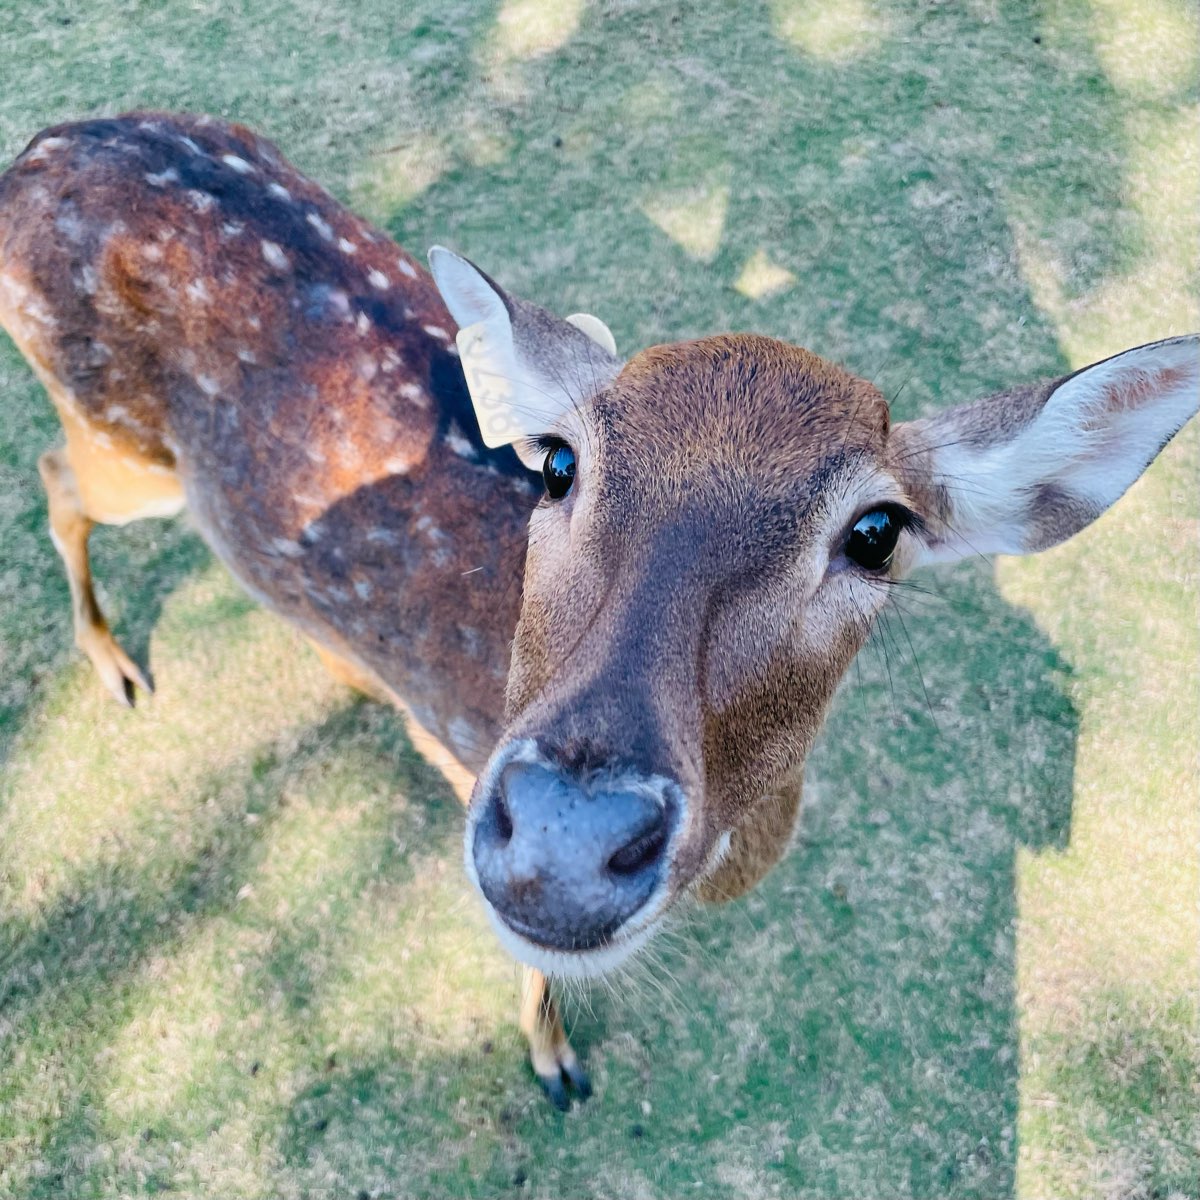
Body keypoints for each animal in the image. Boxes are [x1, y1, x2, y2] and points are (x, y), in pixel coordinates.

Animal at [1, 113, 1196, 1111]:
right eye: (560, 462)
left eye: (877, 529)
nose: (568, 837)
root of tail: (37, 149)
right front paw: (554, 1063)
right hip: (124, 446)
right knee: (58, 476)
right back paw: (116, 665)